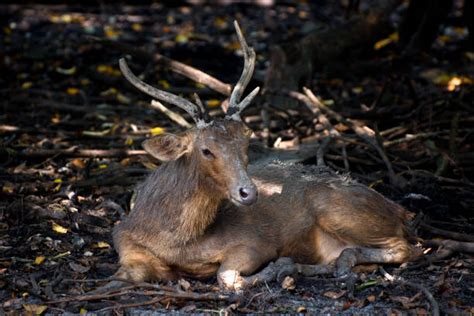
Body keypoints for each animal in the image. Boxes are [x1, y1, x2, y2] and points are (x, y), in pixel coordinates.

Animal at [107, 22, 418, 292]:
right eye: (206, 149)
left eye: (246, 141)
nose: (249, 192)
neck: (176, 241)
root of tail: (401, 211)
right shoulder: (123, 239)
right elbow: (121, 275)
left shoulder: (254, 242)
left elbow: (226, 277)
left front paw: (280, 267)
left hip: (339, 209)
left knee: (408, 247)